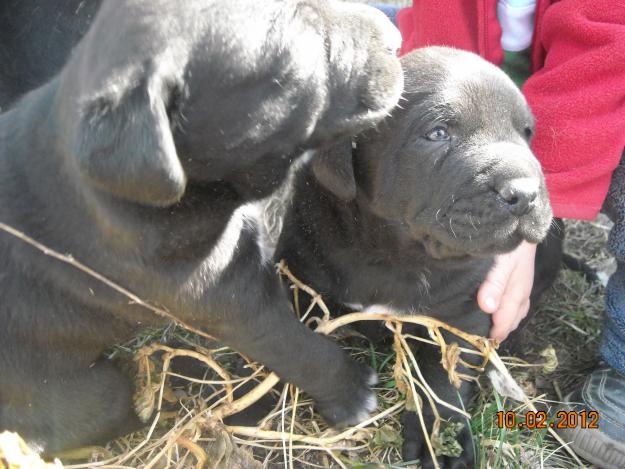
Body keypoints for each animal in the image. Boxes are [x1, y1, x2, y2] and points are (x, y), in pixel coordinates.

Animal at [0, 0, 402, 454]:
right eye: (295, 54)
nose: (395, 38)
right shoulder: (229, 300)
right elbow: (295, 347)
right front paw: (350, 390)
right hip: (82, 390)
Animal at [272, 46, 552, 464]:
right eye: (437, 133)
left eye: (526, 133)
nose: (526, 192)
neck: (395, 254)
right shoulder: (302, 282)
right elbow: (293, 341)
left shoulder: (463, 315)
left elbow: (443, 378)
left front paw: (442, 439)